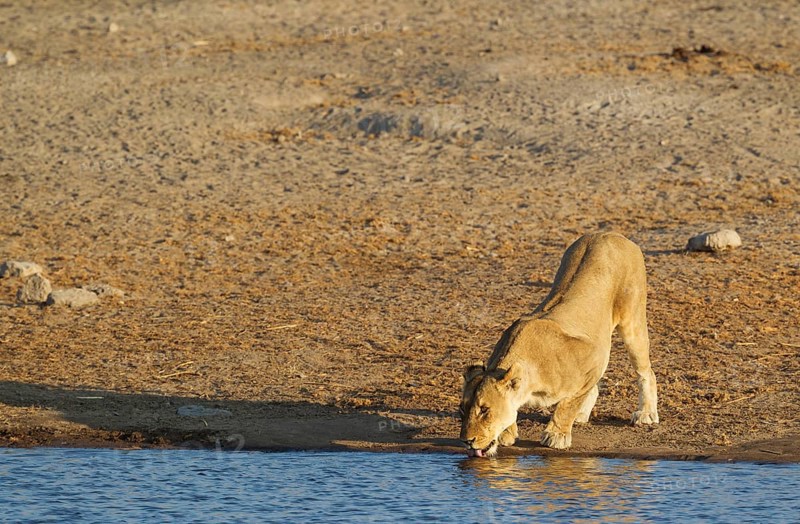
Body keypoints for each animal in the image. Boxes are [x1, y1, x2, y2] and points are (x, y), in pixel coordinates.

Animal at [460, 232, 659, 457]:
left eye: (485, 410)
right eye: (462, 409)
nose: (466, 441)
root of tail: (609, 233)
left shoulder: (593, 357)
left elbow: (568, 404)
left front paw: (557, 435)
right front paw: (507, 432)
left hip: (632, 320)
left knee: (646, 372)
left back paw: (646, 413)